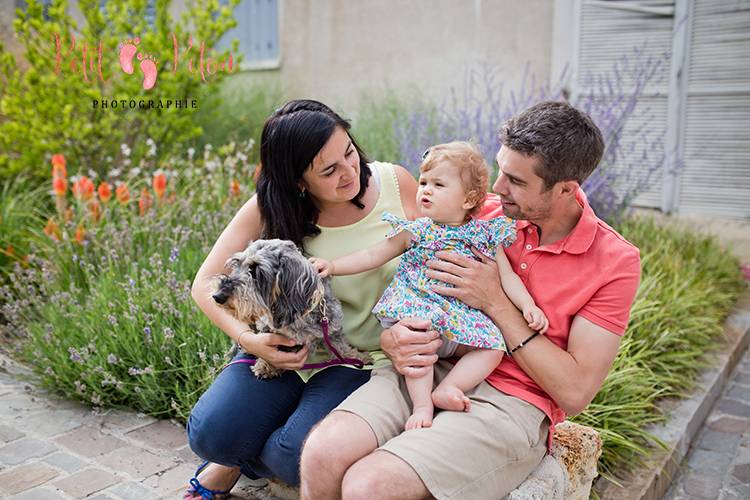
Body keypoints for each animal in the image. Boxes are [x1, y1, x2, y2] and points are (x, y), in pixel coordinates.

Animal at [209, 240, 374, 376]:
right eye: (236, 263)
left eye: (257, 271)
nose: (218, 296)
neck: (297, 315)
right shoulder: (266, 329)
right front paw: (266, 366)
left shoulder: (331, 326)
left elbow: (340, 347)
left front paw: (357, 358)